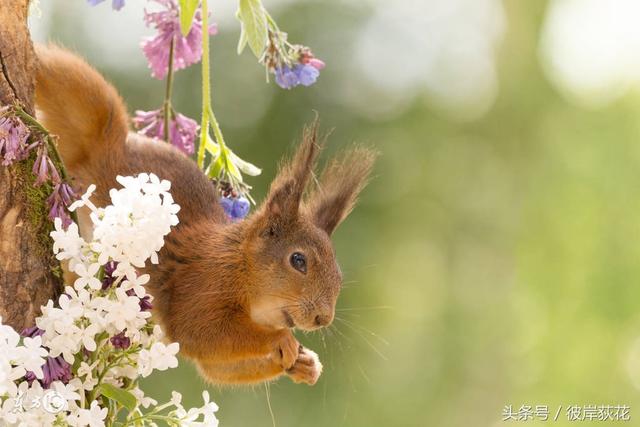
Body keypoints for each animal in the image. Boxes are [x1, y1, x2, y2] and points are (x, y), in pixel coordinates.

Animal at [33, 45, 376, 386]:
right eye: (298, 260)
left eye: (338, 273)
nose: (323, 318)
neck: (241, 267)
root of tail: (108, 149)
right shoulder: (201, 286)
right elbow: (204, 335)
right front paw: (282, 341)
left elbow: (216, 367)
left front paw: (306, 364)